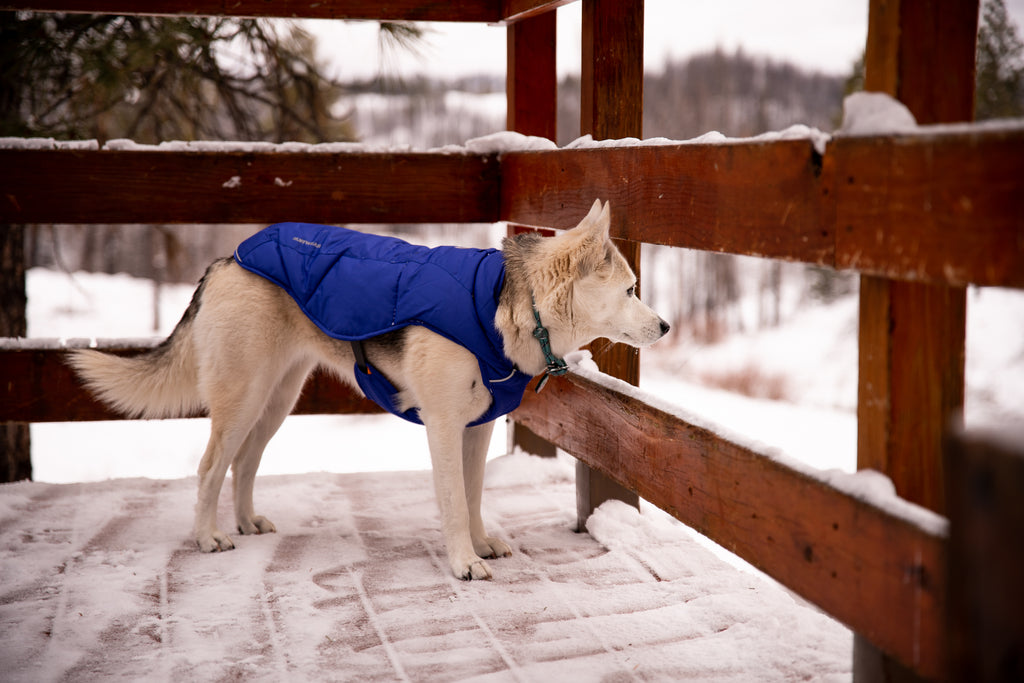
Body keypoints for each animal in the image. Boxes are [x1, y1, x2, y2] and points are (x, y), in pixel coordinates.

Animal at [68, 200, 667, 581]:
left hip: (275, 402)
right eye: (631, 290)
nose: (664, 327)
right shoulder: (443, 428)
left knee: (244, 463)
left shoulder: (476, 429)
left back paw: (244, 520)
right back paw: (207, 536)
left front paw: (479, 544)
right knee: (210, 467)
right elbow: (454, 503)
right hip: (242, 398)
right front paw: (463, 562)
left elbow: (474, 497)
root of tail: (228, 259)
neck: (504, 306)